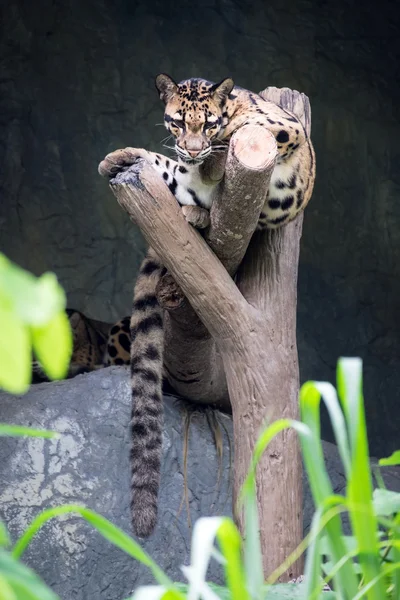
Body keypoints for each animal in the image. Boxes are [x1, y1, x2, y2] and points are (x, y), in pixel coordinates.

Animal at [97, 72, 316, 536]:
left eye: (207, 122)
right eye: (178, 122)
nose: (195, 148)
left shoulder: (283, 125)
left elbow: (245, 130)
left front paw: (217, 153)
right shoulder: (182, 168)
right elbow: (167, 165)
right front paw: (120, 157)